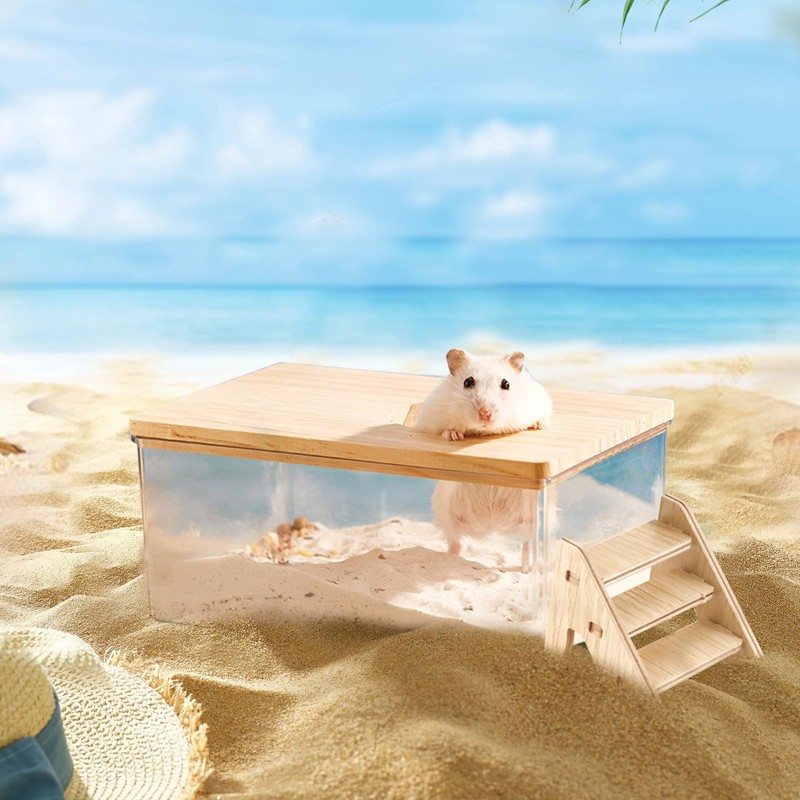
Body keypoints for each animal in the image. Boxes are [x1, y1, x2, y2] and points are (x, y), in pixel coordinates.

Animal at [416, 349, 553, 561]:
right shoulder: (430, 418)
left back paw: (524, 565)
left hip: (534, 520)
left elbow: (542, 417)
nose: (485, 413)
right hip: (446, 513)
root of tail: (493, 526)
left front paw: (538, 424)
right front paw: (454, 435)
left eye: (506, 384)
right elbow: (443, 429)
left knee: (527, 544)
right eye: (467, 382)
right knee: (455, 542)